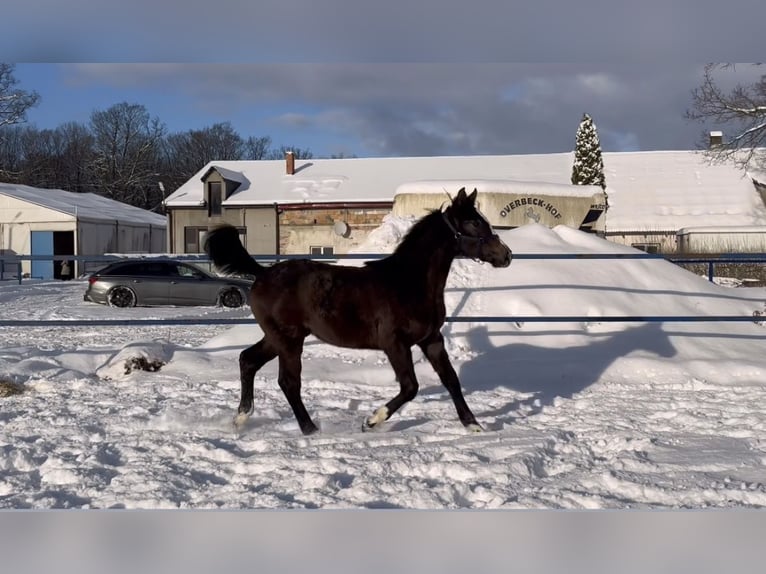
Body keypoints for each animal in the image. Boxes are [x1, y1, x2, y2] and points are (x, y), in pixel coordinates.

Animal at [203, 187, 513, 435]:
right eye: (474, 222)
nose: (506, 255)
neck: (409, 281)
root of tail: (262, 273)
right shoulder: (395, 344)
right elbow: (410, 386)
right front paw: (371, 421)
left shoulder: (431, 339)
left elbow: (451, 380)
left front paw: (473, 425)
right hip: (289, 340)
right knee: (288, 381)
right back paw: (310, 429)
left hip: (277, 337)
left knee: (248, 360)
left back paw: (241, 419)